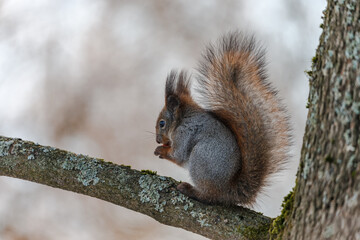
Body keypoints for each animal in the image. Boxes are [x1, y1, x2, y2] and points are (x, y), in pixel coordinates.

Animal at [153, 31, 292, 205]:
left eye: (162, 123)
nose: (158, 140)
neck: (181, 120)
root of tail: (229, 191)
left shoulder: (184, 133)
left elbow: (178, 155)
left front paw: (161, 150)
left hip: (201, 159)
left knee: (210, 195)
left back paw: (192, 190)